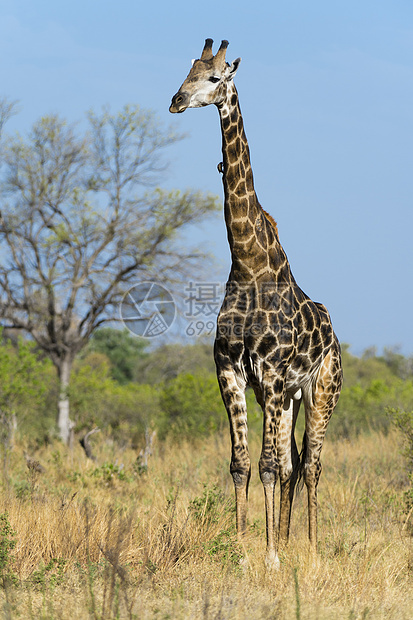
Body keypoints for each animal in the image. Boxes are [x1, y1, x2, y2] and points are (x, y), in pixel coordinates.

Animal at [169, 38, 342, 568]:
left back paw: (308, 548)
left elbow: (266, 465)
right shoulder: (230, 371)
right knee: (293, 462)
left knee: (311, 463)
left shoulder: (270, 372)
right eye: (187, 72)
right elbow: (241, 464)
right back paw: (284, 538)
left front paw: (269, 557)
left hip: (320, 390)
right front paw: (247, 551)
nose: (176, 101)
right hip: (284, 398)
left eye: (215, 79)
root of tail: (335, 337)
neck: (247, 263)